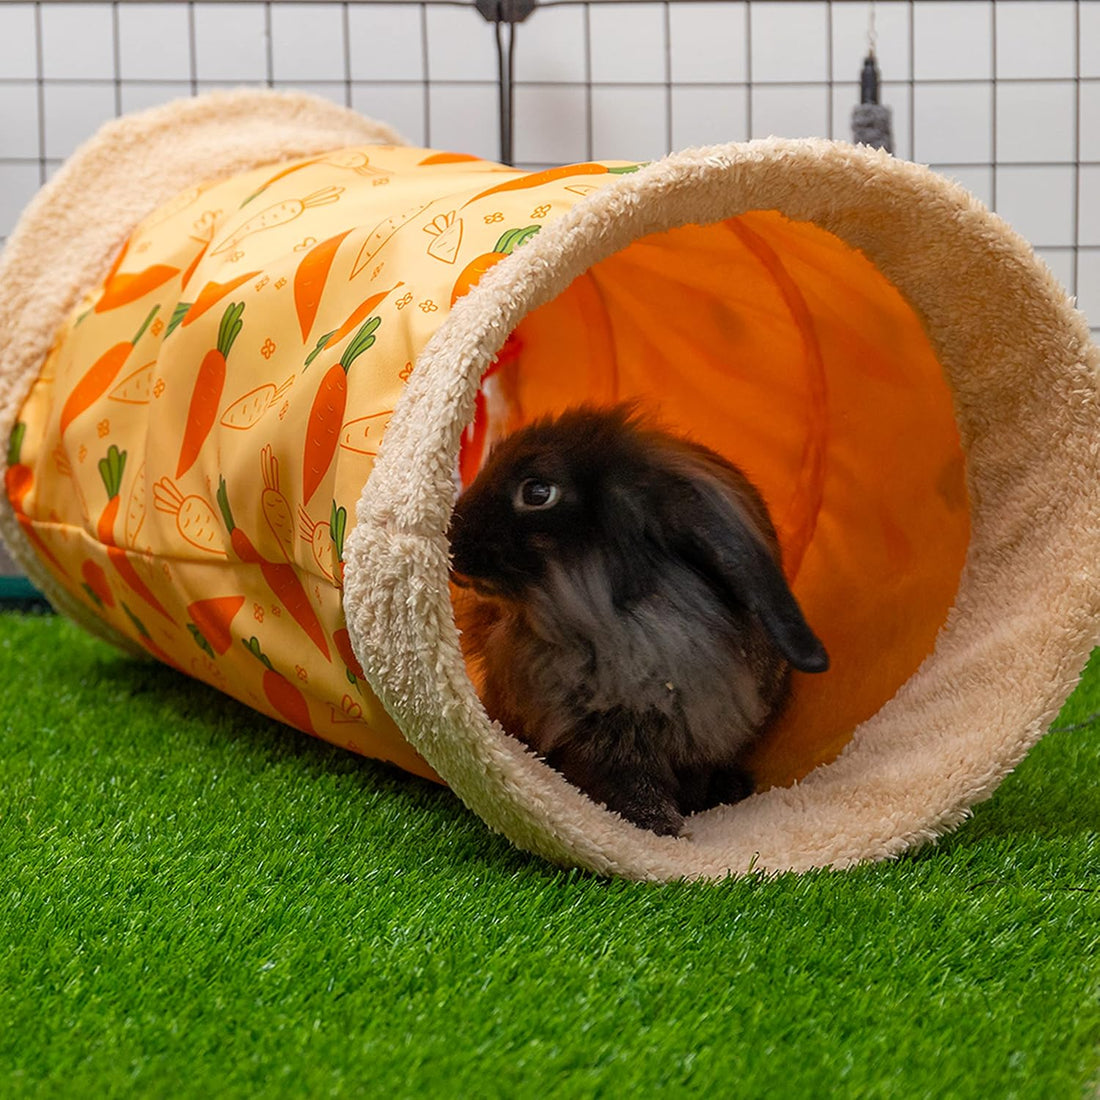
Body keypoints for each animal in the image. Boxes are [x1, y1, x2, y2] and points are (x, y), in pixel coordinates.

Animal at [448, 404, 829, 837]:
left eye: (538, 493)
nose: (452, 542)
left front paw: (665, 829)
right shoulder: (609, 746)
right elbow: (633, 787)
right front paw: (660, 830)